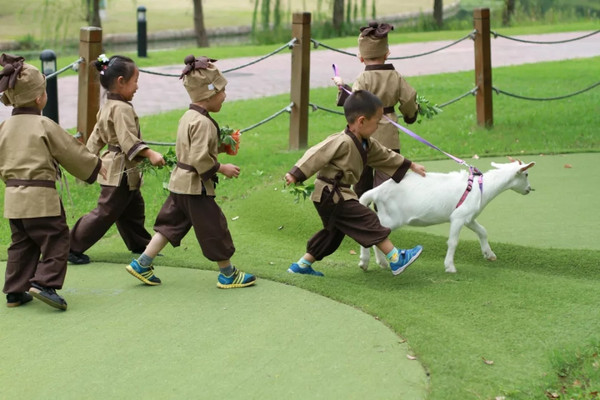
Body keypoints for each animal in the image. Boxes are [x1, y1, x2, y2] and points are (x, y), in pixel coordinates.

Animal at [358, 159, 536, 272]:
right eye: (526, 174)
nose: (529, 189)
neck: (481, 187)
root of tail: (377, 191)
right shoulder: (458, 217)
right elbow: (453, 242)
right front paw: (450, 266)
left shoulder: (468, 217)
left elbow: (482, 231)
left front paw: (489, 254)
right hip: (391, 217)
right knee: (372, 233)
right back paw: (365, 261)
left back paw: (381, 263)